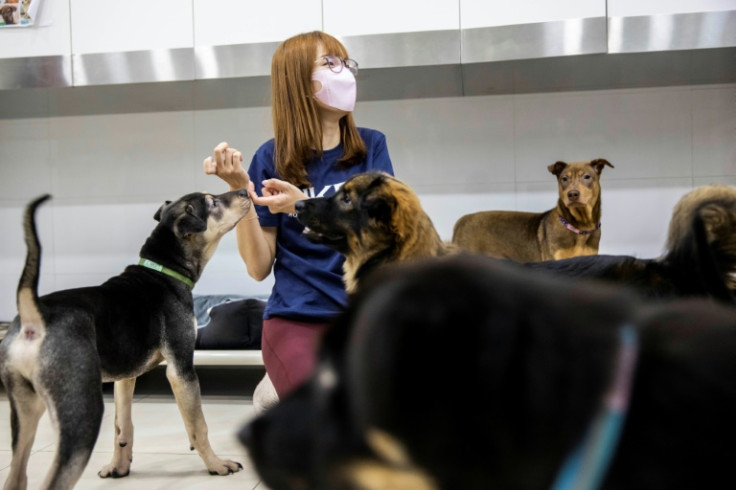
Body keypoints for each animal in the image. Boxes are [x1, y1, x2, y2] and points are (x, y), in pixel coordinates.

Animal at [0, 190, 250, 490]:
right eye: (212, 202)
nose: (245, 191)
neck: (164, 270)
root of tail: (33, 317)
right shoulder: (181, 369)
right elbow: (197, 425)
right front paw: (217, 465)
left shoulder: (125, 376)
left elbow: (123, 425)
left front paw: (118, 468)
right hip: (81, 409)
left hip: (25, 409)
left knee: (17, 474)